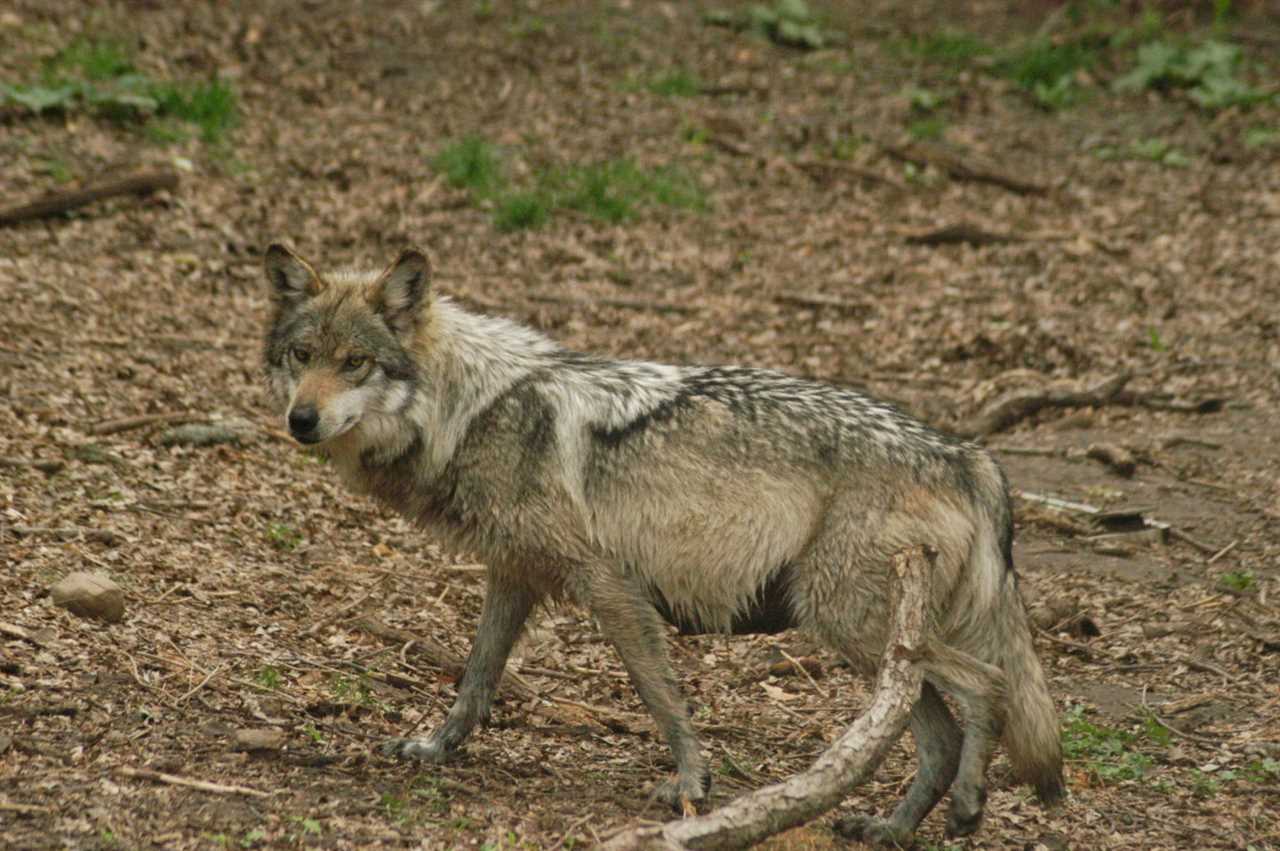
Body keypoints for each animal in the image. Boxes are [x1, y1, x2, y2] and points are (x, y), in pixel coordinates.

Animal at [262, 241, 1070, 839]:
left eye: (356, 362)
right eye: (302, 355)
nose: (301, 420)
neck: (472, 409)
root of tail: (967, 455)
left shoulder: (609, 586)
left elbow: (659, 695)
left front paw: (691, 785)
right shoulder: (514, 575)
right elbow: (475, 679)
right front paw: (434, 748)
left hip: (849, 623)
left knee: (989, 685)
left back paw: (967, 806)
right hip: (872, 639)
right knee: (938, 736)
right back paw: (892, 830)